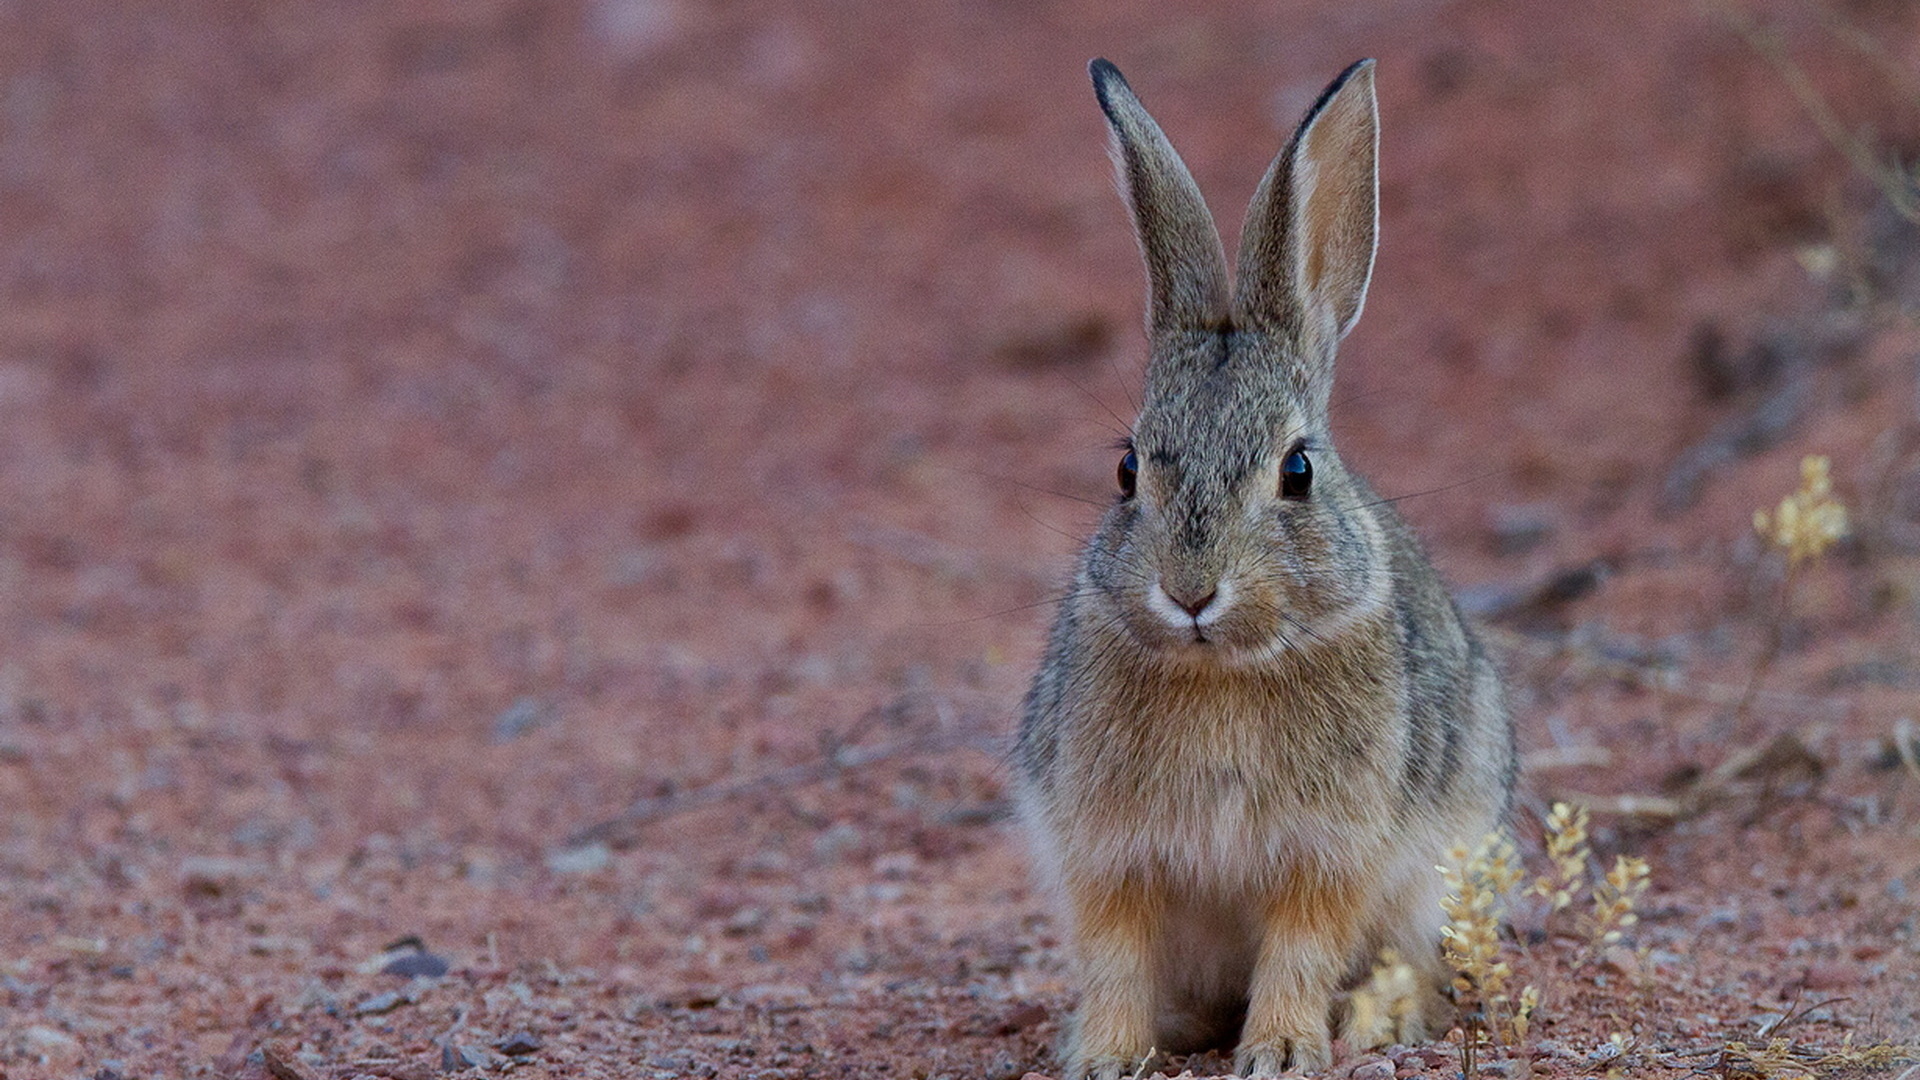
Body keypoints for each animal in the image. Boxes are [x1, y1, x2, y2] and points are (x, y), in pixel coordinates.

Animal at [1013, 58, 1520, 1076]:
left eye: (1298, 471)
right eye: (1127, 470)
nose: (1190, 592)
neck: (1224, 670)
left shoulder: (1328, 854)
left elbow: (1301, 947)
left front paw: (1281, 1050)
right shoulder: (1106, 853)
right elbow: (1116, 953)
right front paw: (1107, 1055)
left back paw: (1383, 1020)